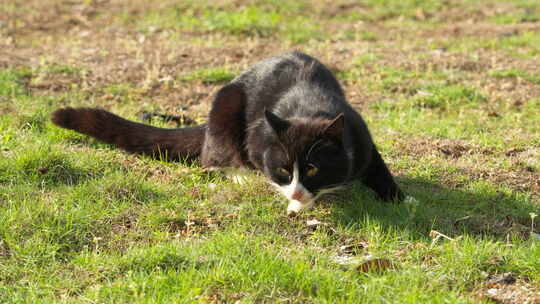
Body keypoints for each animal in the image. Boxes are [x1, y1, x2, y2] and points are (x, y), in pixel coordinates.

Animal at [51, 51, 404, 215]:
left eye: (314, 168)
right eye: (283, 170)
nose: (295, 192)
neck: (309, 109)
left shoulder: (359, 135)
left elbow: (377, 167)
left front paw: (399, 198)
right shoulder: (259, 141)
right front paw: (295, 205)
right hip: (225, 107)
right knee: (212, 155)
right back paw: (238, 174)